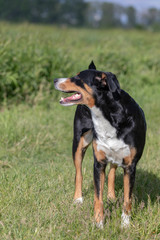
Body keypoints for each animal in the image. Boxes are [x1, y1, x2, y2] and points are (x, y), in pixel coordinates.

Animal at [54, 61, 147, 228]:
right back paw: (78, 199)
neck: (108, 115)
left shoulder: (130, 166)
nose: (54, 80)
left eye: (78, 78)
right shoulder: (98, 163)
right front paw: (98, 224)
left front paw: (125, 224)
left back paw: (111, 196)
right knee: (78, 173)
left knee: (112, 172)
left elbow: (127, 199)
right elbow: (98, 199)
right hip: (79, 143)